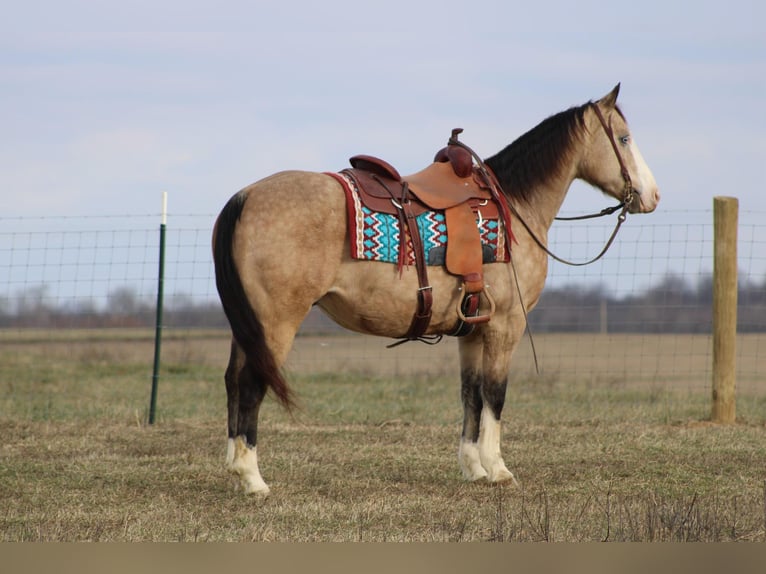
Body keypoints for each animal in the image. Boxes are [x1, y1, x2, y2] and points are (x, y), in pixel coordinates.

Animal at [214, 83, 660, 498]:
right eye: (623, 139)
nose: (652, 195)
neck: (515, 206)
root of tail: (245, 196)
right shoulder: (505, 325)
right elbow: (495, 395)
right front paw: (499, 470)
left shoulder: (473, 330)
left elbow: (471, 396)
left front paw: (474, 469)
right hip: (276, 323)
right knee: (251, 385)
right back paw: (253, 479)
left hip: (248, 326)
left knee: (234, 381)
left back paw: (236, 468)